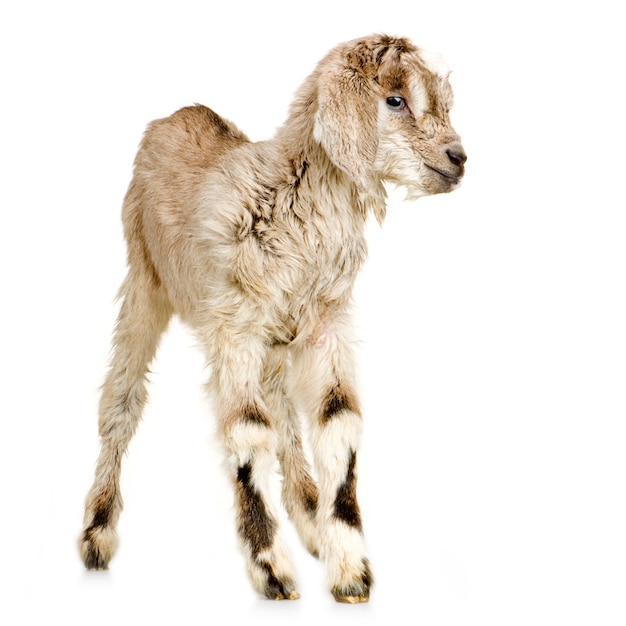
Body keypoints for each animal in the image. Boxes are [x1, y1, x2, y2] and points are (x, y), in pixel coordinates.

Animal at [79, 33, 464, 600]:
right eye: (394, 100)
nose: (458, 158)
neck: (290, 197)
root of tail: (177, 114)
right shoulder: (233, 325)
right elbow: (247, 431)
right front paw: (273, 572)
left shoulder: (325, 322)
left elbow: (338, 421)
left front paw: (350, 570)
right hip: (145, 279)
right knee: (122, 401)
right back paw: (97, 534)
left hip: (277, 337)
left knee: (283, 413)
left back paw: (310, 519)